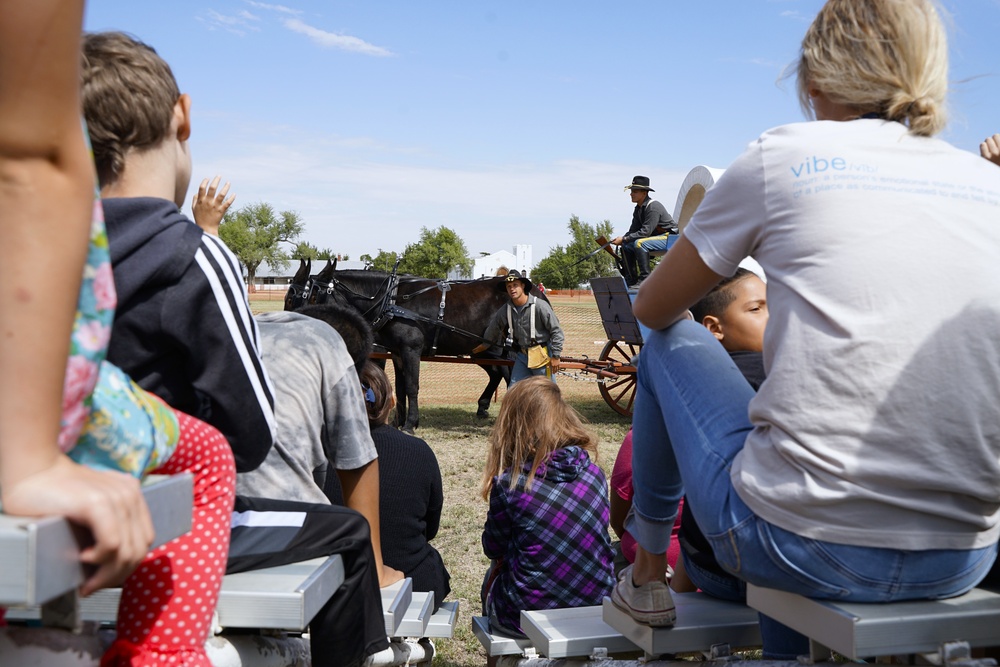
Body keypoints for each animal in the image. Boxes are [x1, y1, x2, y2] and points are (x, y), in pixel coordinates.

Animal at [284, 256, 532, 434]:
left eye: (311, 296)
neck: (390, 301)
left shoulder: (410, 350)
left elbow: (411, 386)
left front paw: (410, 423)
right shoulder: (397, 353)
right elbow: (400, 387)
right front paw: (398, 420)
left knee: (509, 375)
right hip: (483, 350)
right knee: (498, 374)